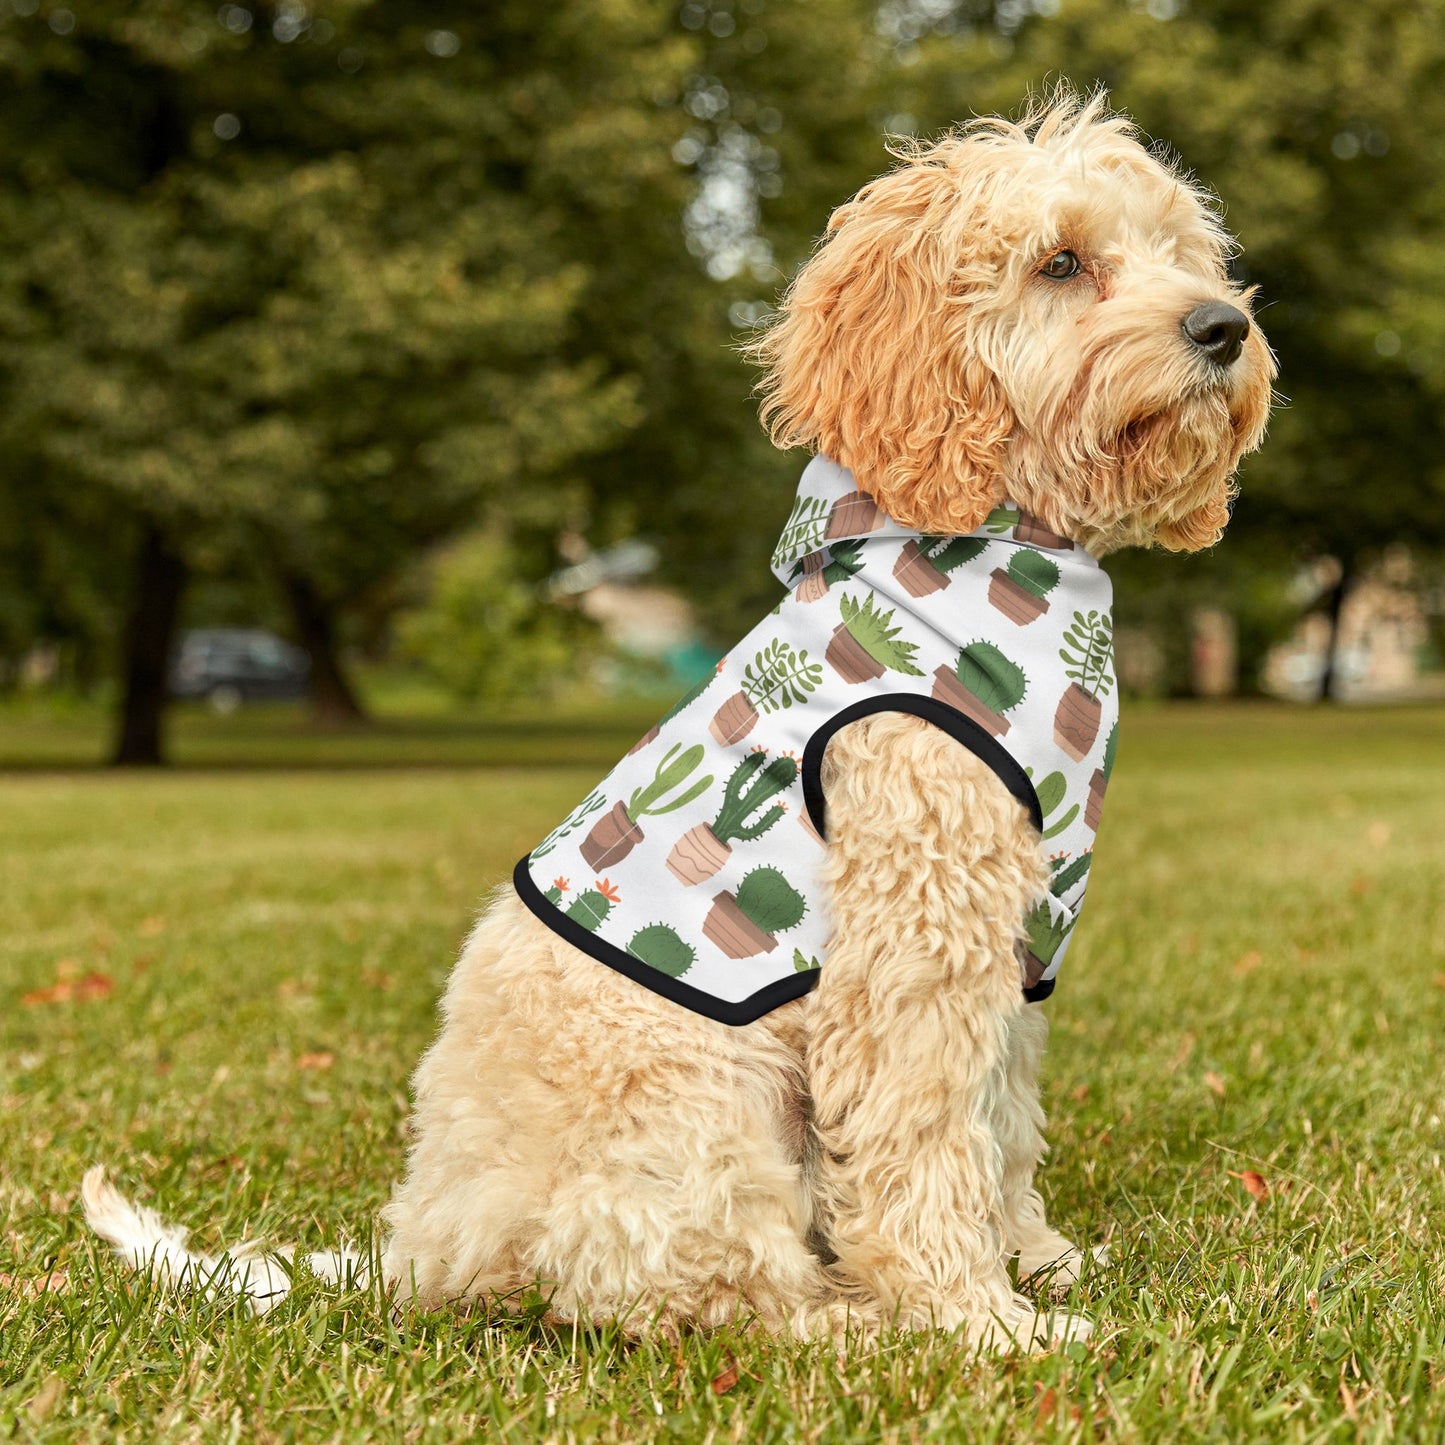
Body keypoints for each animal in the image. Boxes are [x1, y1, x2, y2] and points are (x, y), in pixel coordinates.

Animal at [84, 93, 1271, 1352]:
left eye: (1180, 252)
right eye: (1060, 262)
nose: (1222, 327)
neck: (992, 552)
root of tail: (424, 1247)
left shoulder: (1012, 941)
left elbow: (999, 1121)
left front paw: (1035, 1260)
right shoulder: (913, 938)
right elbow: (923, 1138)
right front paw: (977, 1319)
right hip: (702, 1102)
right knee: (703, 1292)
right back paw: (852, 1322)